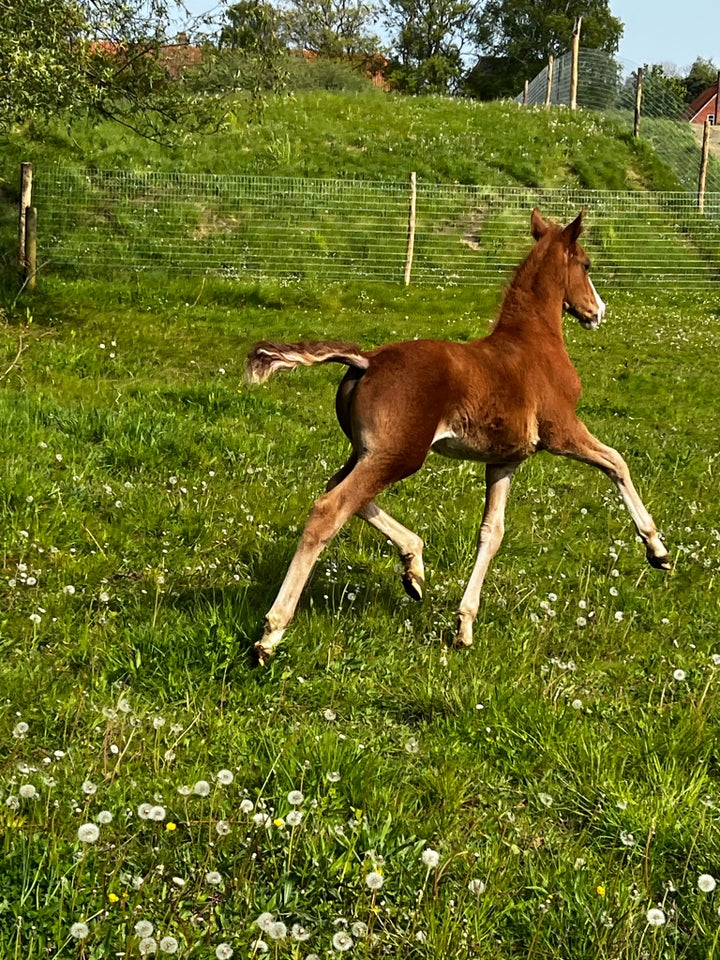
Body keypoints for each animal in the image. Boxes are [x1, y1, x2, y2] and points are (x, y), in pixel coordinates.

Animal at [246, 207, 668, 664]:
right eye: (587, 265)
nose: (598, 312)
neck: (535, 342)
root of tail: (367, 360)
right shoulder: (562, 431)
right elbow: (617, 462)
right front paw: (657, 549)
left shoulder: (503, 460)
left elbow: (492, 532)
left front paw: (464, 626)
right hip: (399, 455)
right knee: (330, 507)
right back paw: (271, 633)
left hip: (367, 451)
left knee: (340, 491)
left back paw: (413, 567)